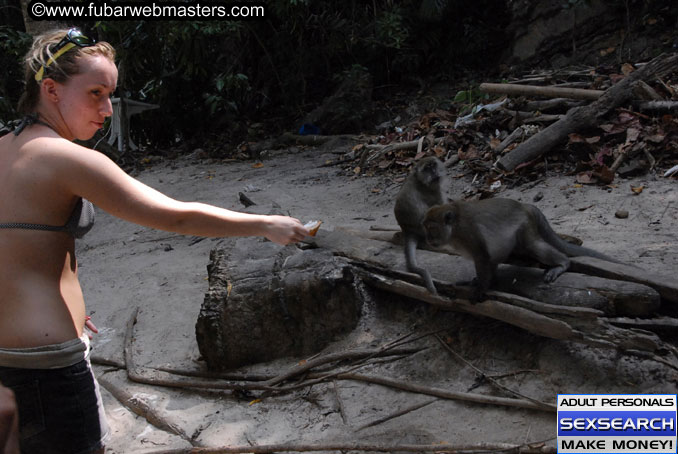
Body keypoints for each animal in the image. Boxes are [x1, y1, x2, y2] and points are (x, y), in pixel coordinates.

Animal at [396, 156, 448, 294]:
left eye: (433, 165)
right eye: (427, 168)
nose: (434, 172)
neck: (420, 181)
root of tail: (407, 230)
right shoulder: (434, 191)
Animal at [424, 199, 620, 302]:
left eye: (433, 229)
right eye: (427, 228)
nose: (429, 239)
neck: (454, 229)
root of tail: (525, 205)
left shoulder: (468, 234)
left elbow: (483, 256)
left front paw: (482, 287)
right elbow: (491, 258)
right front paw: (481, 281)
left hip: (525, 226)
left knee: (535, 247)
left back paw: (562, 264)